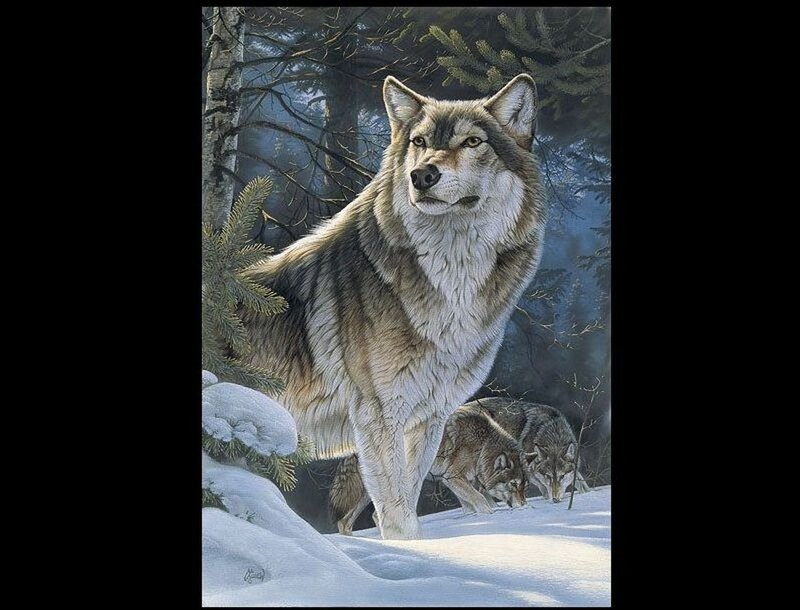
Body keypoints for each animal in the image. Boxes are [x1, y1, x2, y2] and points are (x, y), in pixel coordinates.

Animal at [330, 403, 530, 535]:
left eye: (524, 487)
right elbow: (480, 500)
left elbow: (472, 504)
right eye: (513, 484)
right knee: (369, 517)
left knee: (348, 521)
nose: (524, 506)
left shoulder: (459, 481)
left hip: (367, 494)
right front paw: (489, 516)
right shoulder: (454, 477)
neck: (482, 445)